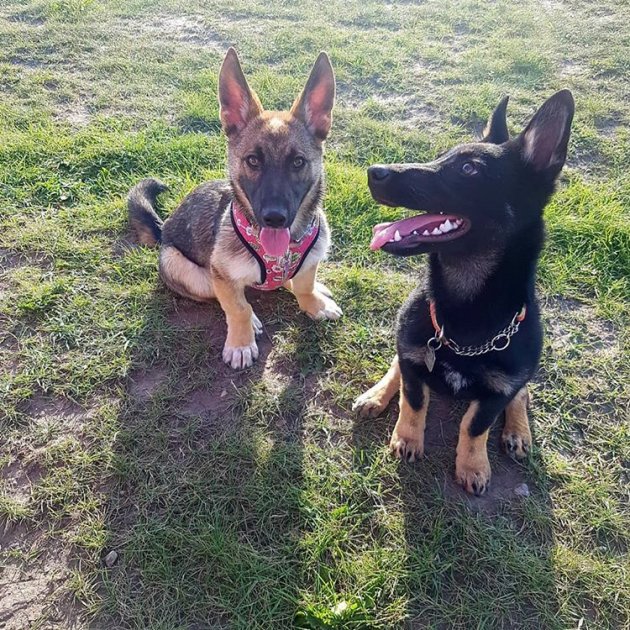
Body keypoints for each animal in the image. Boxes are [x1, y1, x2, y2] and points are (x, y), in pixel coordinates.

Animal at [128, 50, 344, 376]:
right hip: (187, 272)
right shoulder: (221, 275)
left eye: (298, 162)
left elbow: (304, 284)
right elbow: (238, 306)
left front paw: (313, 302)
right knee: (227, 298)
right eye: (253, 160)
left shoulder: (311, 260)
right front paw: (241, 341)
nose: (274, 218)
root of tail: (163, 228)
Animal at [356, 91, 576, 498]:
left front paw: (472, 465)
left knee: (523, 394)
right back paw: (376, 396)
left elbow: (475, 425)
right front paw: (406, 438)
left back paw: (518, 432)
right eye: (440, 156)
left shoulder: (497, 393)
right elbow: (413, 399)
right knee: (397, 368)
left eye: (469, 169)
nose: (374, 171)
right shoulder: (413, 356)